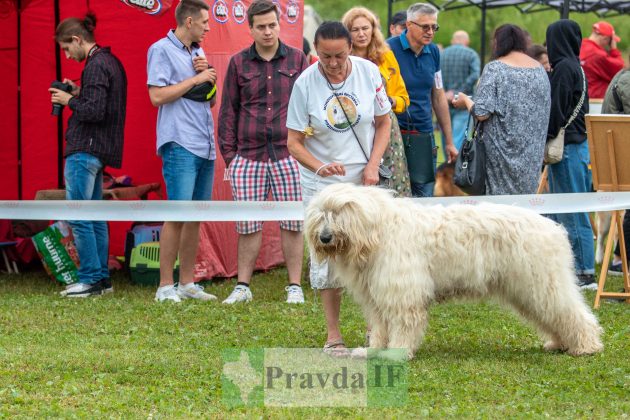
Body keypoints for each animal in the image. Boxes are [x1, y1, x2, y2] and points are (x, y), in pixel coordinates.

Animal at [308, 184, 608, 360]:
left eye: (339, 212)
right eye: (321, 214)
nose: (324, 237)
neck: (378, 231)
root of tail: (552, 227)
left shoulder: (402, 293)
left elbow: (403, 324)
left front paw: (397, 352)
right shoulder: (377, 296)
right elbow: (380, 327)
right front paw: (373, 350)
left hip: (543, 283)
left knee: (571, 313)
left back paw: (586, 346)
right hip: (530, 289)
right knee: (554, 317)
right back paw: (559, 343)